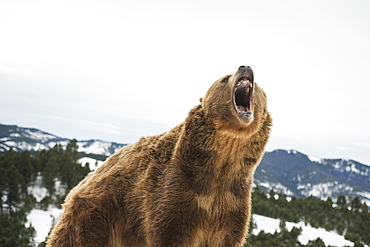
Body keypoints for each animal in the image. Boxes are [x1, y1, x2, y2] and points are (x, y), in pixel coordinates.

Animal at [47, 65, 272, 247]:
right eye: (225, 78)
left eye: (259, 86)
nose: (245, 67)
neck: (223, 158)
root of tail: (84, 181)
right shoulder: (176, 192)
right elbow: (170, 231)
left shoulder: (231, 201)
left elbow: (228, 235)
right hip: (95, 215)